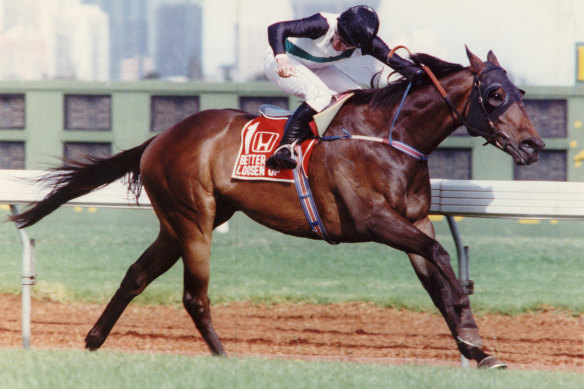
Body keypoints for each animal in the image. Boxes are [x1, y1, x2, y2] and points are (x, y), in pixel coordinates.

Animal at [12, 48, 544, 366]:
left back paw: (94, 340)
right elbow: (442, 262)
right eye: (495, 94)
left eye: (519, 92)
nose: (533, 146)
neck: (389, 135)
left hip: (177, 225)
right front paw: (472, 335)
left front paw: (477, 349)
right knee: (194, 296)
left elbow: (438, 279)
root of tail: (160, 138)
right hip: (194, 221)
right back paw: (224, 358)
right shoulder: (374, 220)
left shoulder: (415, 223)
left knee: (136, 276)